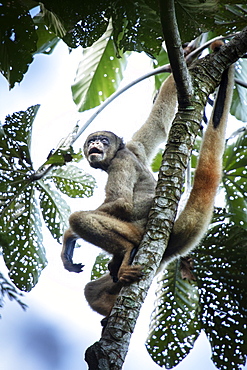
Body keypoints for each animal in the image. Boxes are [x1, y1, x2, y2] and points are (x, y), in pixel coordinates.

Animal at [61, 42, 233, 316]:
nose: (95, 145)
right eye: (91, 141)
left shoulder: (120, 161)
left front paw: (68, 236)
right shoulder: (136, 146)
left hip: (135, 232)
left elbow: (121, 203)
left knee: (81, 218)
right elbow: (161, 117)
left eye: (103, 140)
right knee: (91, 290)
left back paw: (123, 252)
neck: (120, 152)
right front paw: (186, 59)